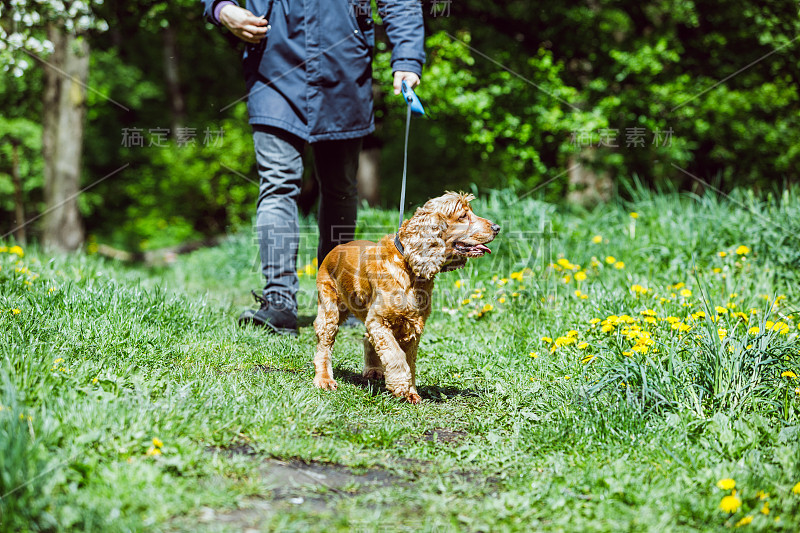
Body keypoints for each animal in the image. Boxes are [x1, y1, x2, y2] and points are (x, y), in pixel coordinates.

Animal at [314, 189, 496, 402]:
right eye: (463, 216)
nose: (497, 228)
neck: (409, 267)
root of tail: (334, 250)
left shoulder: (412, 325)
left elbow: (410, 361)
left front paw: (411, 392)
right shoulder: (379, 320)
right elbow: (396, 355)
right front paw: (401, 387)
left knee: (367, 338)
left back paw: (373, 370)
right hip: (330, 309)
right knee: (324, 345)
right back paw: (324, 380)